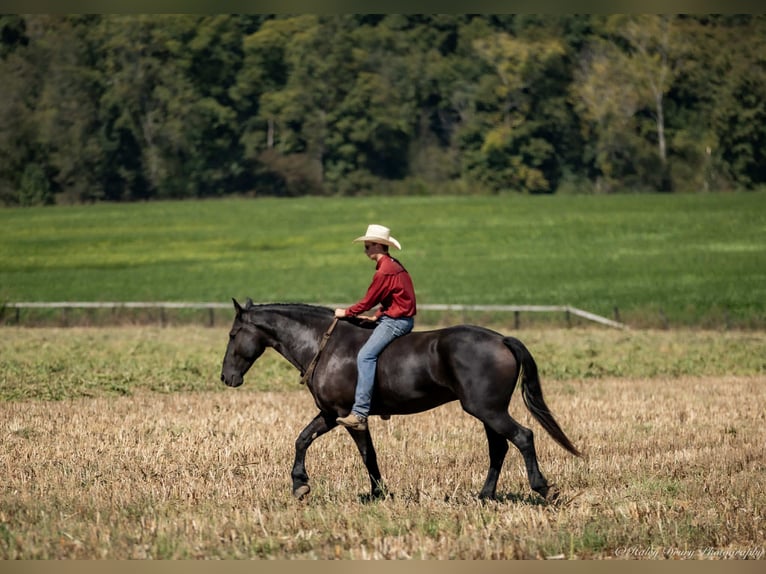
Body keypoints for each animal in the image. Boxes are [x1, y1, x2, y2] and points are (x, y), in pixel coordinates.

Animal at [220, 299, 580, 502]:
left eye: (233, 335)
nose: (227, 377)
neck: (325, 346)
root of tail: (502, 339)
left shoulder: (346, 416)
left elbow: (365, 455)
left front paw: (375, 492)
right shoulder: (330, 414)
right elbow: (304, 440)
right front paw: (301, 485)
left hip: (488, 411)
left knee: (523, 437)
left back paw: (542, 488)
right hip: (488, 412)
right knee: (499, 448)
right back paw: (485, 495)